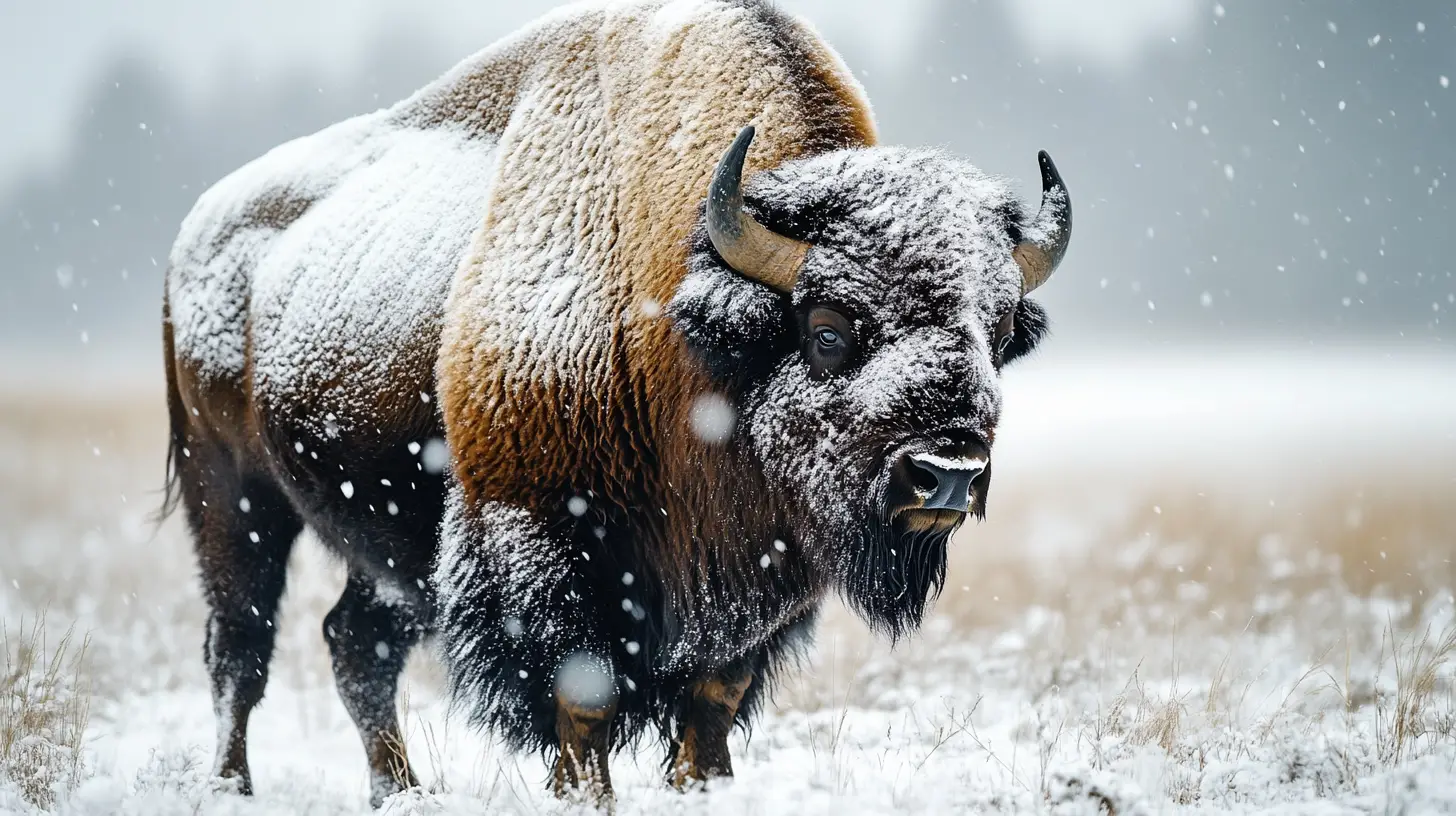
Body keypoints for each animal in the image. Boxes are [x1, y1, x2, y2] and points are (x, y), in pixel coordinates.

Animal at [162, 0, 1070, 806]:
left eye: (996, 332)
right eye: (827, 330)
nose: (946, 474)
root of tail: (197, 231)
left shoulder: (754, 578)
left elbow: (713, 699)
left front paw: (701, 788)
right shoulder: (540, 531)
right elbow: (585, 695)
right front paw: (583, 795)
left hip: (380, 540)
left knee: (356, 646)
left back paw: (400, 793)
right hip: (232, 496)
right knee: (242, 645)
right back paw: (233, 786)